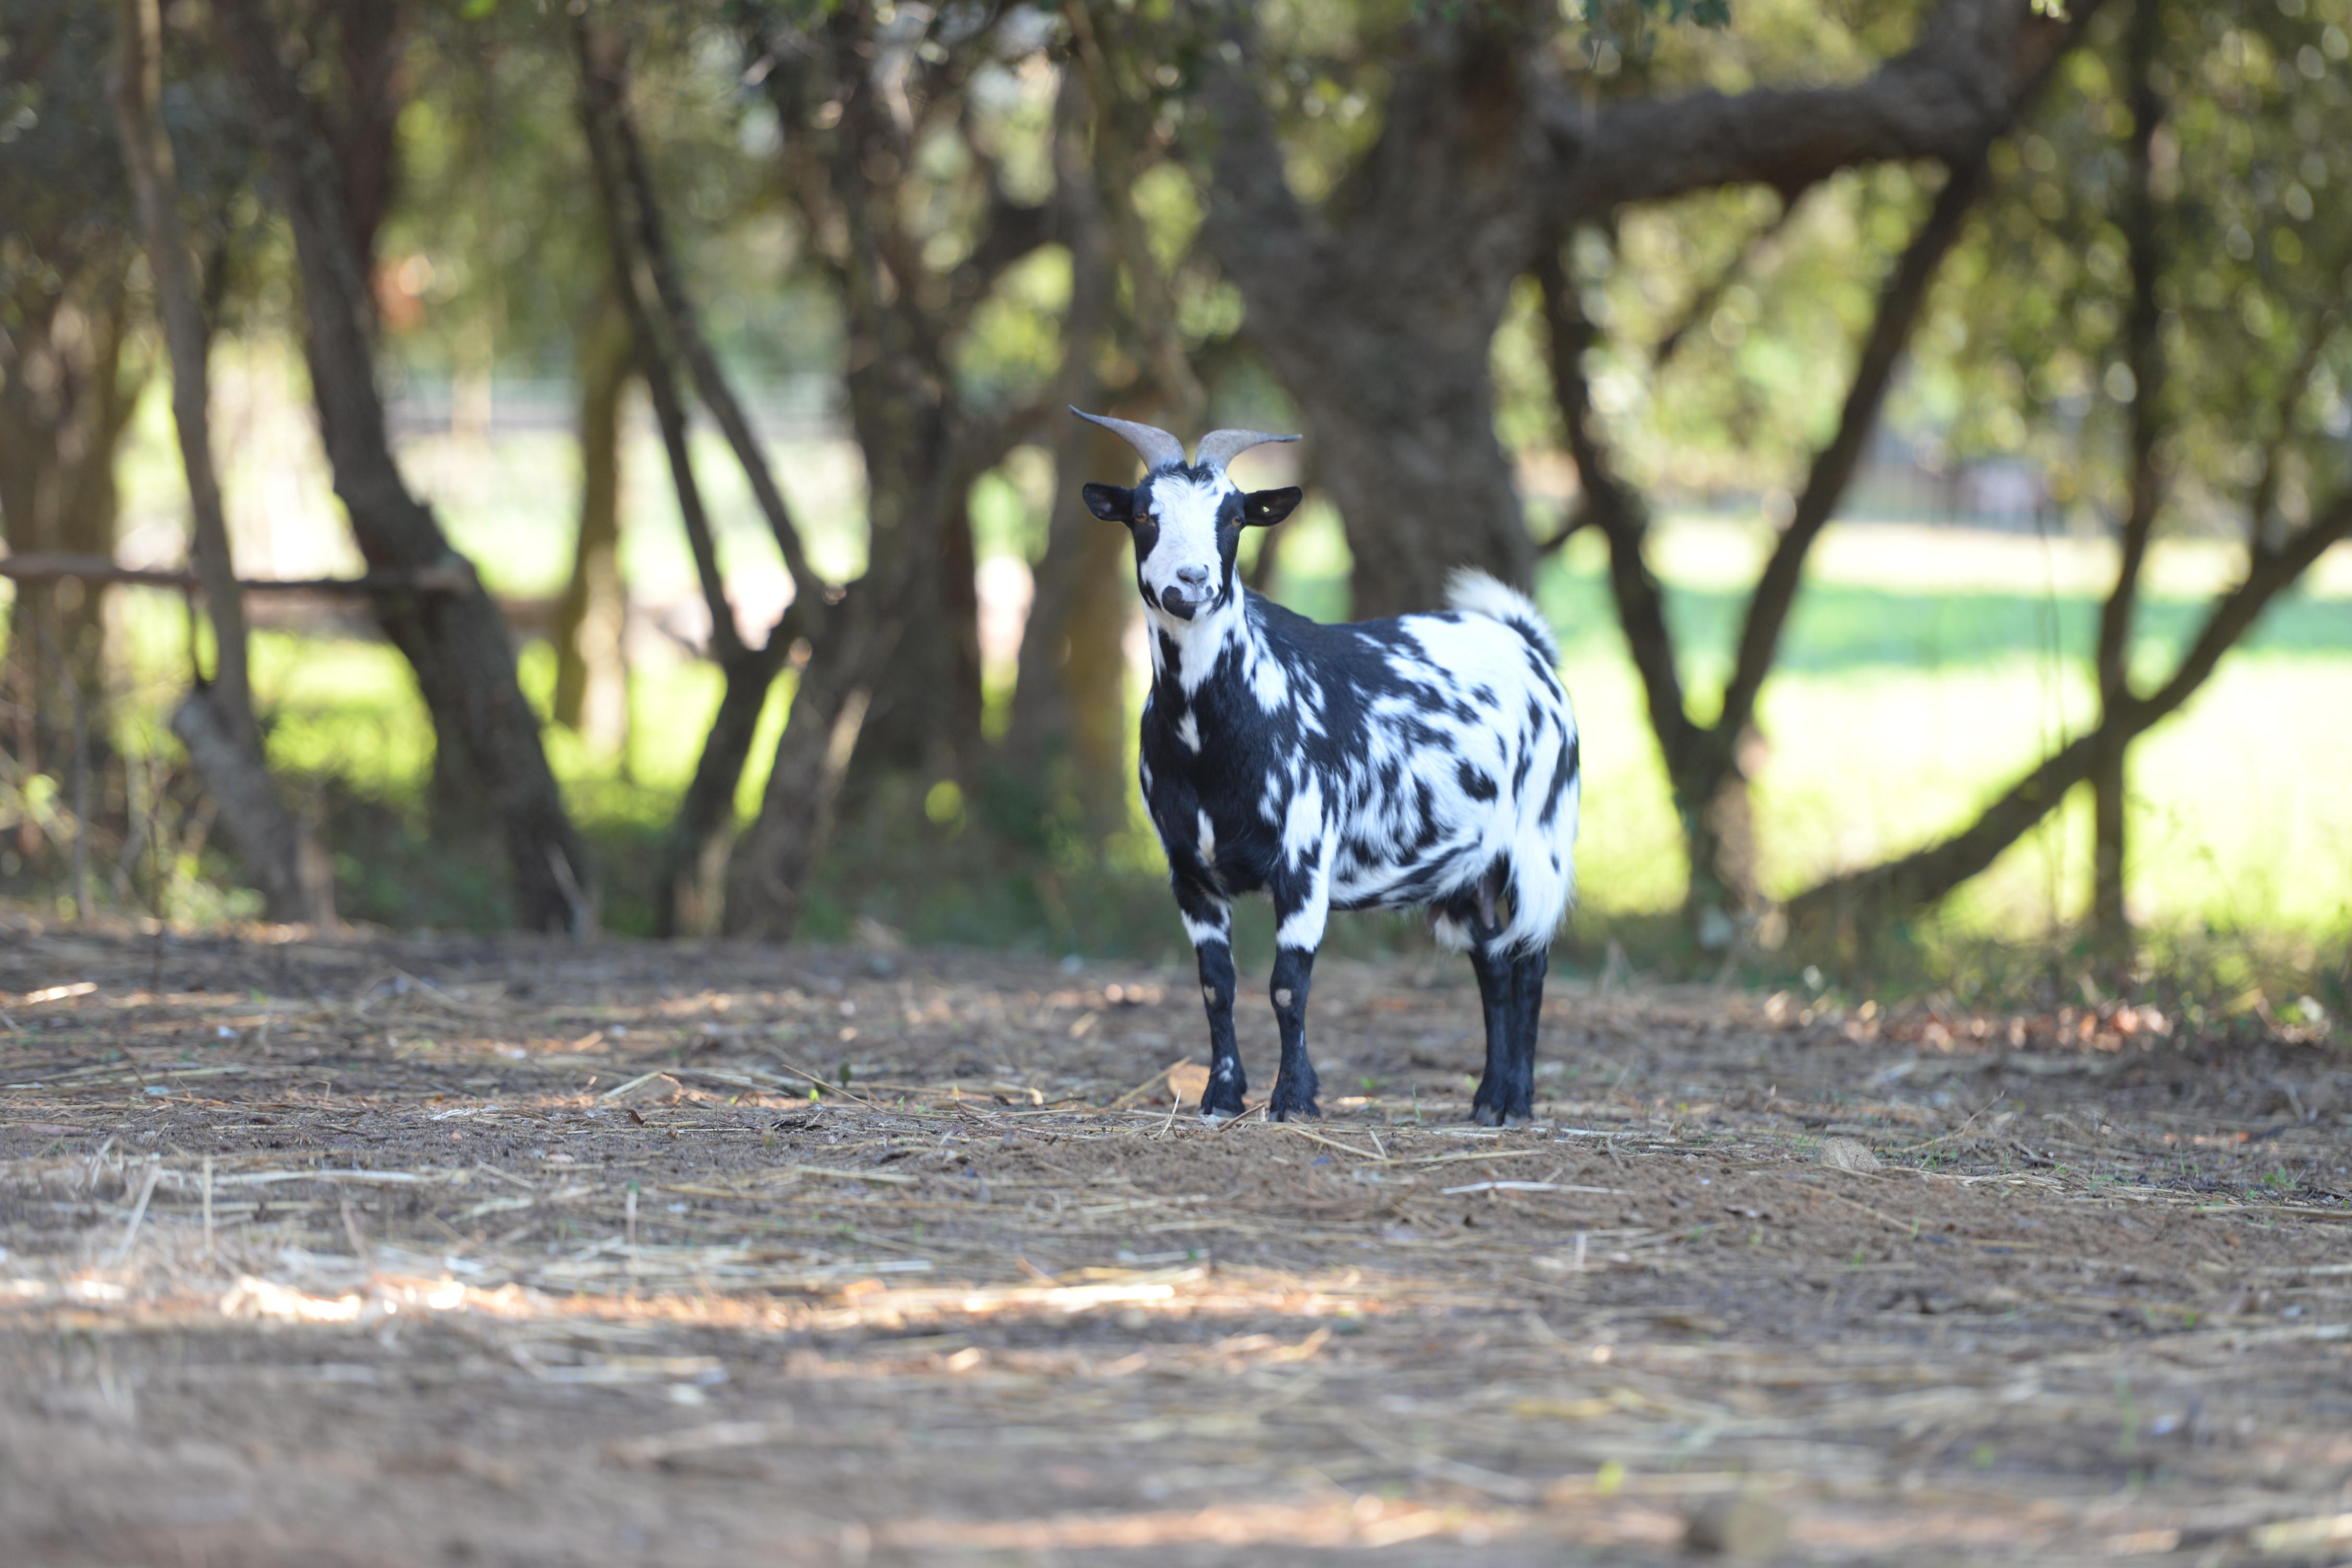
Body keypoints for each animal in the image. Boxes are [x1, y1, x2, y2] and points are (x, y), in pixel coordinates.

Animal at [1077, 411, 1590, 1123]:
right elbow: (1216, 987)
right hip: (1471, 870)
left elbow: (1287, 987)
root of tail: (1526, 642)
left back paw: (1517, 1101)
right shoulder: (1189, 871)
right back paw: (1487, 1100)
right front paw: (1221, 1095)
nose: (1192, 583)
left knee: (1530, 960)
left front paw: (1294, 1099)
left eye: (1233, 517)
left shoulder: (1304, 861)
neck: (1213, 736)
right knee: (1492, 961)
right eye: (1144, 514)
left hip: (1542, 839)